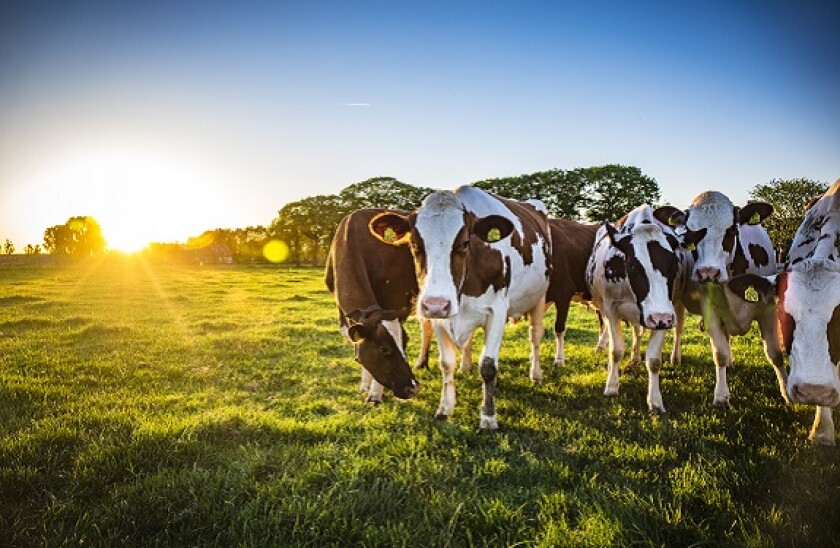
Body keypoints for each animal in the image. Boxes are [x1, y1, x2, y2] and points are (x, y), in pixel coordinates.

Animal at [322, 208, 426, 404]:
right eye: (383, 349)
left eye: (405, 343)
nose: (413, 389)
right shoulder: (343, 313)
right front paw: (364, 385)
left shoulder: (393, 302)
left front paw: (375, 395)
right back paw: (422, 363)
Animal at [368, 186, 552, 430]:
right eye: (414, 245)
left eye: (464, 243)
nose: (436, 304)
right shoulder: (440, 317)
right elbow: (446, 363)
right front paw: (445, 409)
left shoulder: (497, 311)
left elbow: (488, 365)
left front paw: (488, 417)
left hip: (540, 297)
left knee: (536, 335)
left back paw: (536, 374)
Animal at [584, 207, 684, 416]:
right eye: (632, 265)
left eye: (673, 264)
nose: (661, 317)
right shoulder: (611, 309)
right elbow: (616, 351)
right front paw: (612, 386)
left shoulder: (664, 314)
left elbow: (654, 360)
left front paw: (655, 401)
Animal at [656, 192, 788, 406]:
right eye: (691, 232)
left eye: (732, 229)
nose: (708, 272)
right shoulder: (710, 311)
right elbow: (720, 354)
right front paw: (721, 396)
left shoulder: (767, 308)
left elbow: (775, 353)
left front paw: (786, 392)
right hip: (676, 302)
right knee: (679, 328)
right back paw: (675, 358)